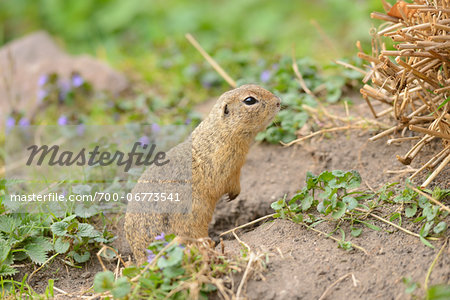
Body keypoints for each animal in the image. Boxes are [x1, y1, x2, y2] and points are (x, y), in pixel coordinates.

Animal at [125, 84, 280, 262]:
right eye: (249, 100)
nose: (278, 102)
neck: (219, 133)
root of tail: (141, 257)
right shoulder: (227, 168)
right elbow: (229, 183)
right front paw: (233, 195)